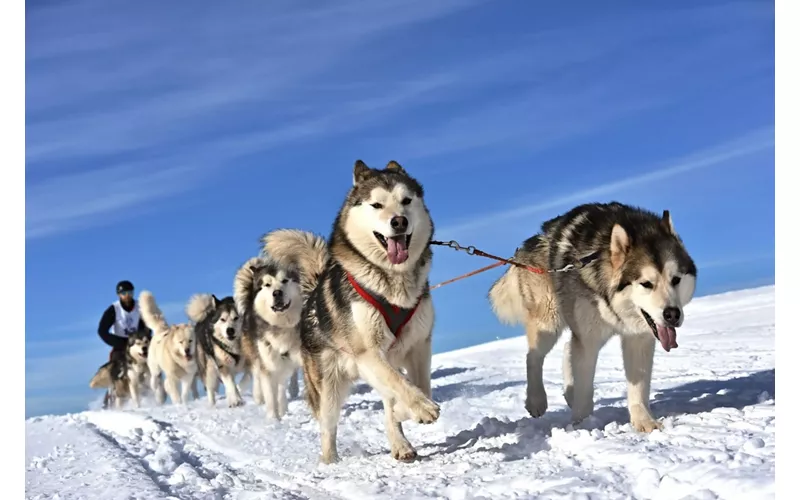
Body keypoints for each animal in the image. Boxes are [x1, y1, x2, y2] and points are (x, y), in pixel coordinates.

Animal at [236, 256, 304, 420]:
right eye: (267, 285)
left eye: (285, 280)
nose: (277, 293)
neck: (280, 324)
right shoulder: (266, 365)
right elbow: (270, 396)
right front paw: (274, 420)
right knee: (257, 377)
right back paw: (259, 397)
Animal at [262, 160, 438, 464]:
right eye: (377, 205)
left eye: (406, 200)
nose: (399, 221)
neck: (392, 283)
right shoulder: (368, 352)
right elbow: (401, 386)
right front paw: (421, 408)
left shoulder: (419, 345)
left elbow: (416, 388)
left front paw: (406, 410)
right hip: (329, 387)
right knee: (328, 426)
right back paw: (330, 461)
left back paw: (400, 443)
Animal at [488, 201, 692, 432]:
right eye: (646, 284)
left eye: (676, 279)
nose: (672, 314)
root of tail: (527, 244)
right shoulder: (589, 339)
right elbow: (584, 386)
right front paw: (581, 425)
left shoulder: (637, 338)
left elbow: (638, 386)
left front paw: (644, 423)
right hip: (549, 323)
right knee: (534, 357)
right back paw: (536, 399)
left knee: (568, 348)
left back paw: (569, 392)